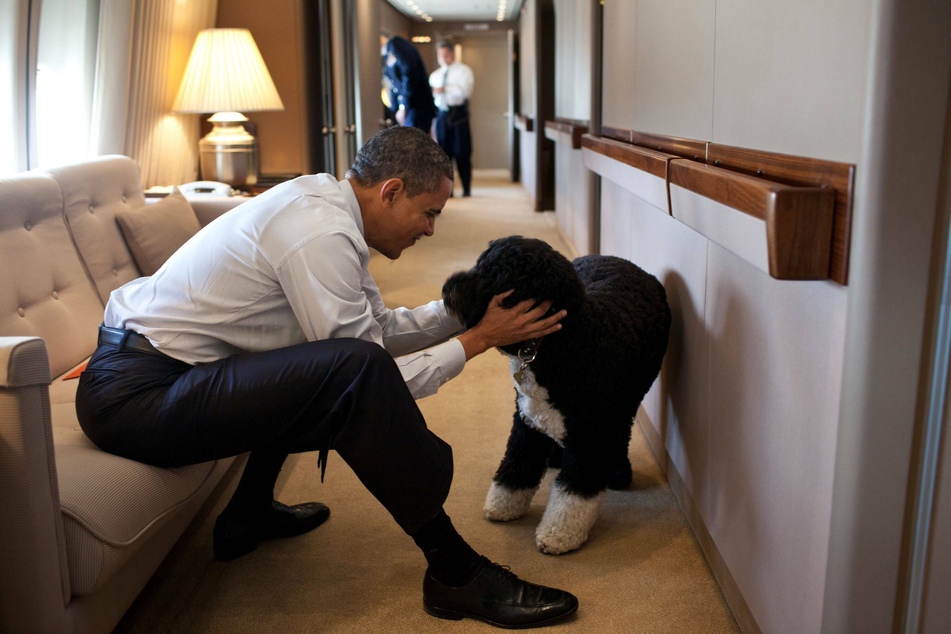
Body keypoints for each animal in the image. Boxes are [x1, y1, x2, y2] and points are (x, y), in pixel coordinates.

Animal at [444, 235, 672, 552]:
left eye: (496, 276)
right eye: (480, 263)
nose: (448, 287)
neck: (564, 341)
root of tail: (615, 258)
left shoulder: (591, 434)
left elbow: (574, 493)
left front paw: (559, 533)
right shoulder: (526, 421)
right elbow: (516, 465)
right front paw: (504, 505)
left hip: (628, 399)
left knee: (621, 433)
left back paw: (616, 471)